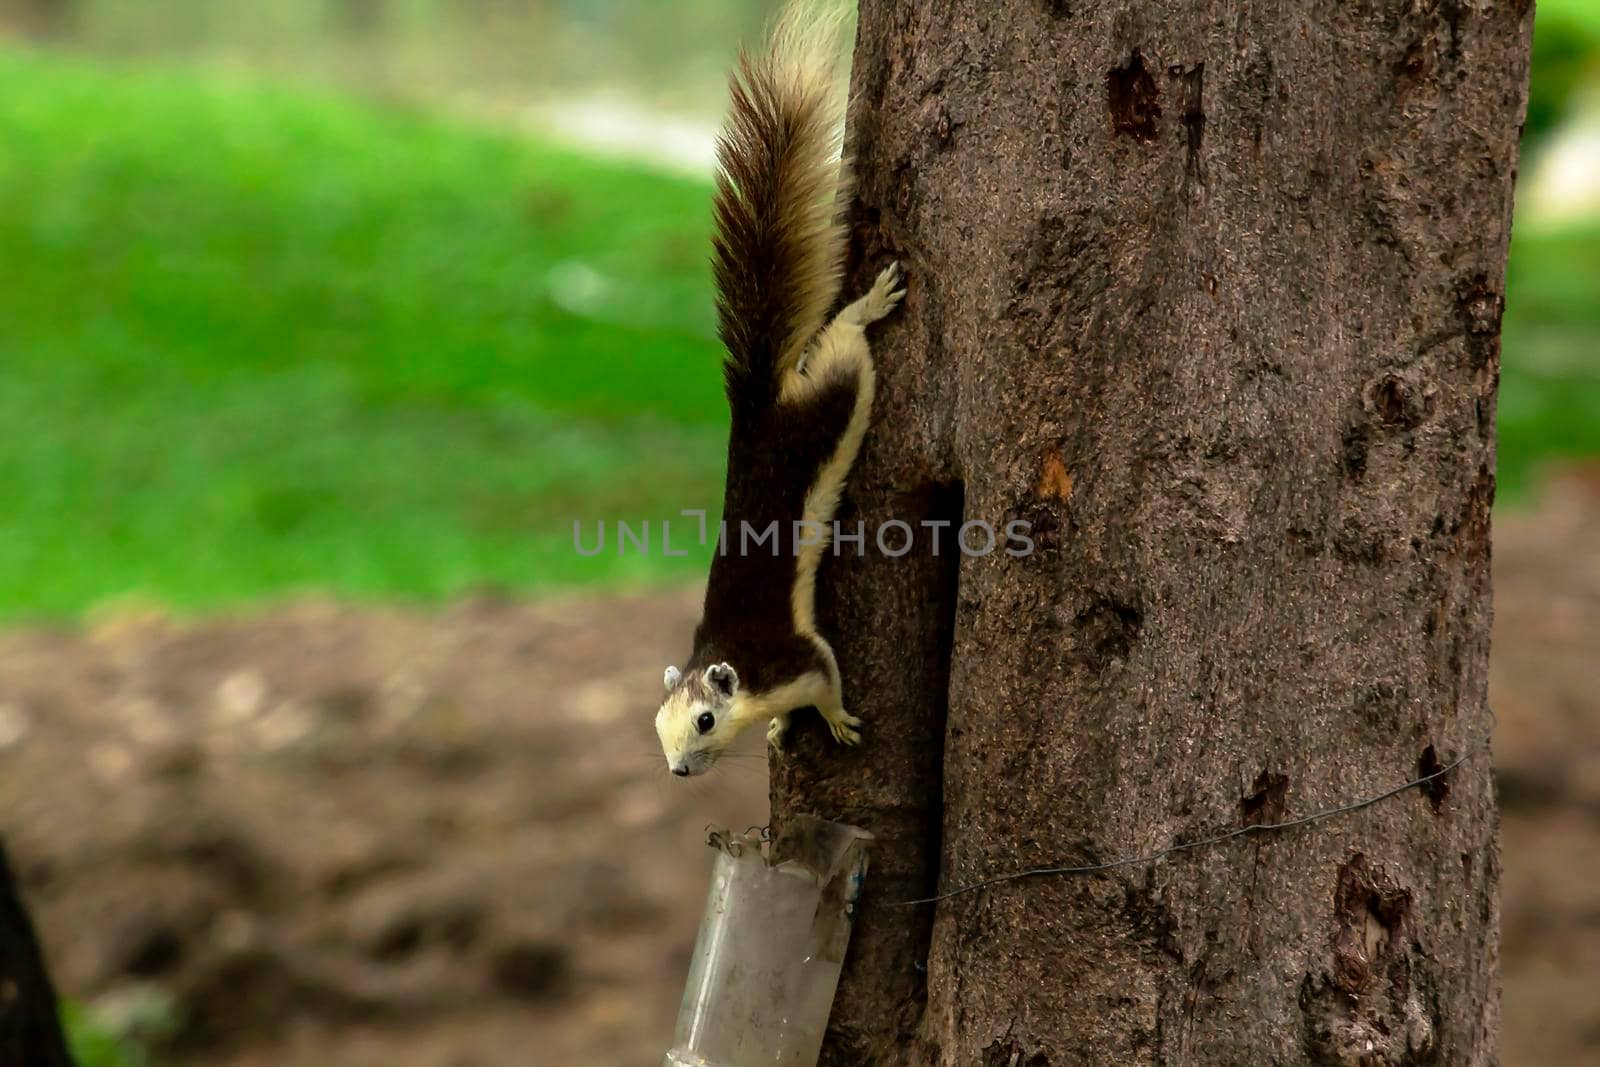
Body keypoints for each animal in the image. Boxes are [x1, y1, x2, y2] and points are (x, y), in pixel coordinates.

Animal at [649, 4, 902, 780]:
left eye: (706, 719)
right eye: (657, 726)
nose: (678, 771)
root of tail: (756, 406)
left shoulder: (795, 657)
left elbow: (827, 675)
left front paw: (834, 720)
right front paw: (780, 731)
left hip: (837, 398)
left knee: (846, 343)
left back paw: (870, 303)